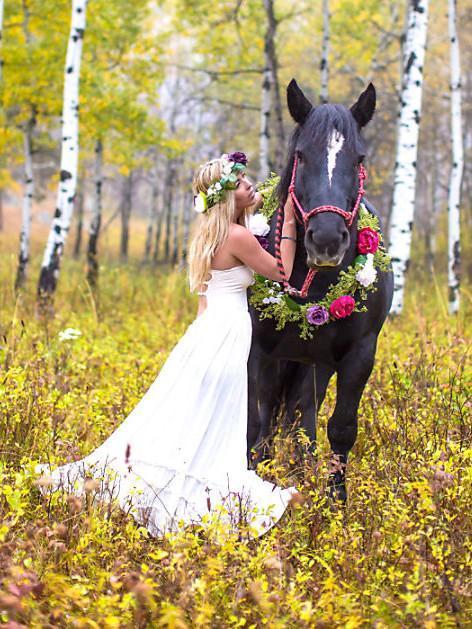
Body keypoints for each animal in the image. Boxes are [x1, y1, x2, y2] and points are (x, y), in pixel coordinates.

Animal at [245, 79, 392, 500]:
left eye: (359, 158)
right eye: (301, 155)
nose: (326, 239)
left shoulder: (359, 356)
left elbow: (340, 429)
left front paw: (334, 503)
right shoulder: (259, 352)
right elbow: (255, 426)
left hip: (316, 364)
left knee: (302, 418)